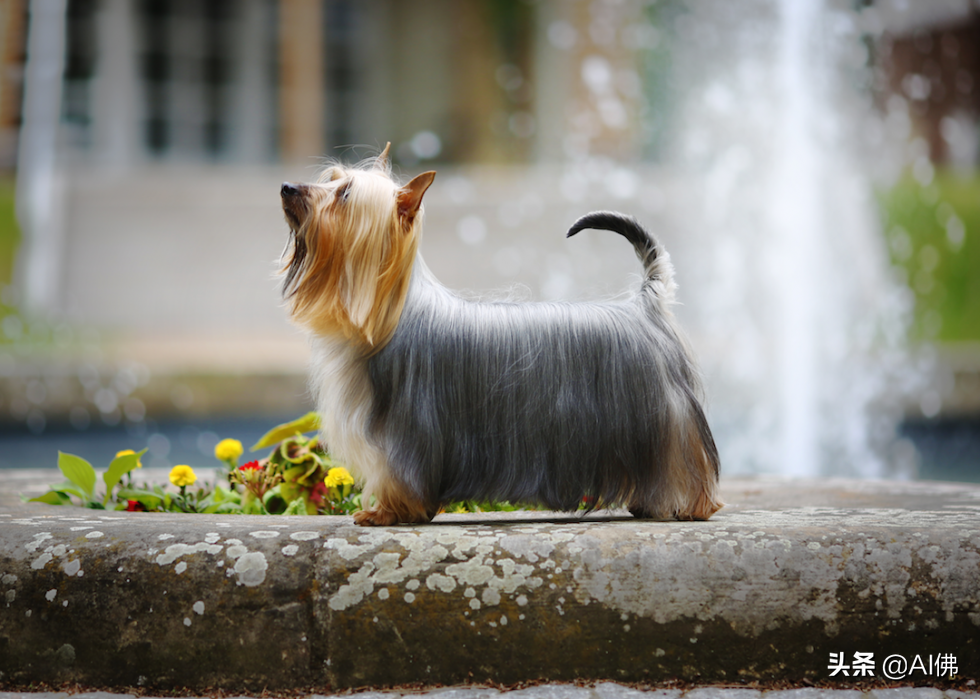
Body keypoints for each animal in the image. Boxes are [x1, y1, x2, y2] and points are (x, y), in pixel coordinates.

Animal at [280, 146, 724, 524]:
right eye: (331, 179)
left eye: (345, 195)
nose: (287, 187)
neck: (387, 314)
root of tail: (646, 303)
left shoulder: (405, 434)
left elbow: (398, 474)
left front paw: (386, 512)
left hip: (663, 420)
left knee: (684, 463)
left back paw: (690, 505)